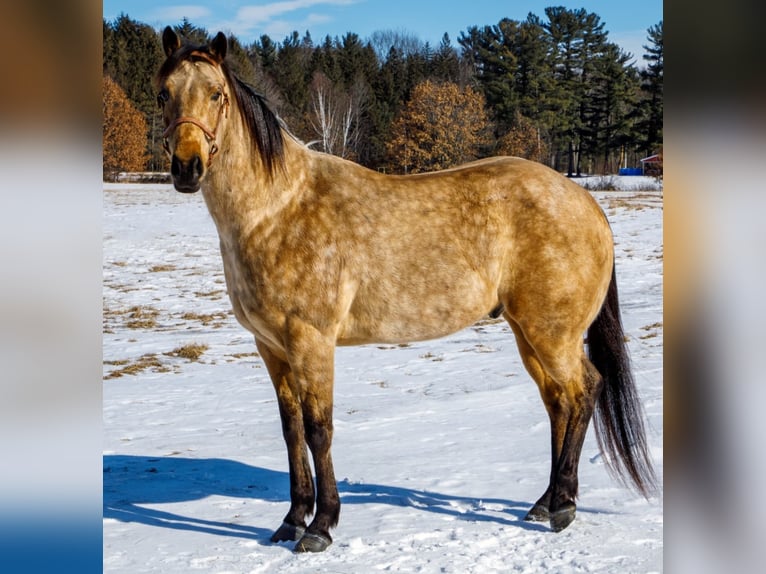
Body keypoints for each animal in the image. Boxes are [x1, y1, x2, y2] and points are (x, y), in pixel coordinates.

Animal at [158, 25, 660, 552]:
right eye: (163, 94)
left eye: (217, 94)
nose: (187, 167)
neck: (277, 209)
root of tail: (587, 201)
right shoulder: (271, 347)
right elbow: (291, 430)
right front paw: (292, 520)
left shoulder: (310, 341)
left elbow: (319, 430)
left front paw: (321, 526)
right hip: (528, 333)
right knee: (559, 402)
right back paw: (544, 503)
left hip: (553, 333)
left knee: (584, 392)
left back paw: (562, 506)